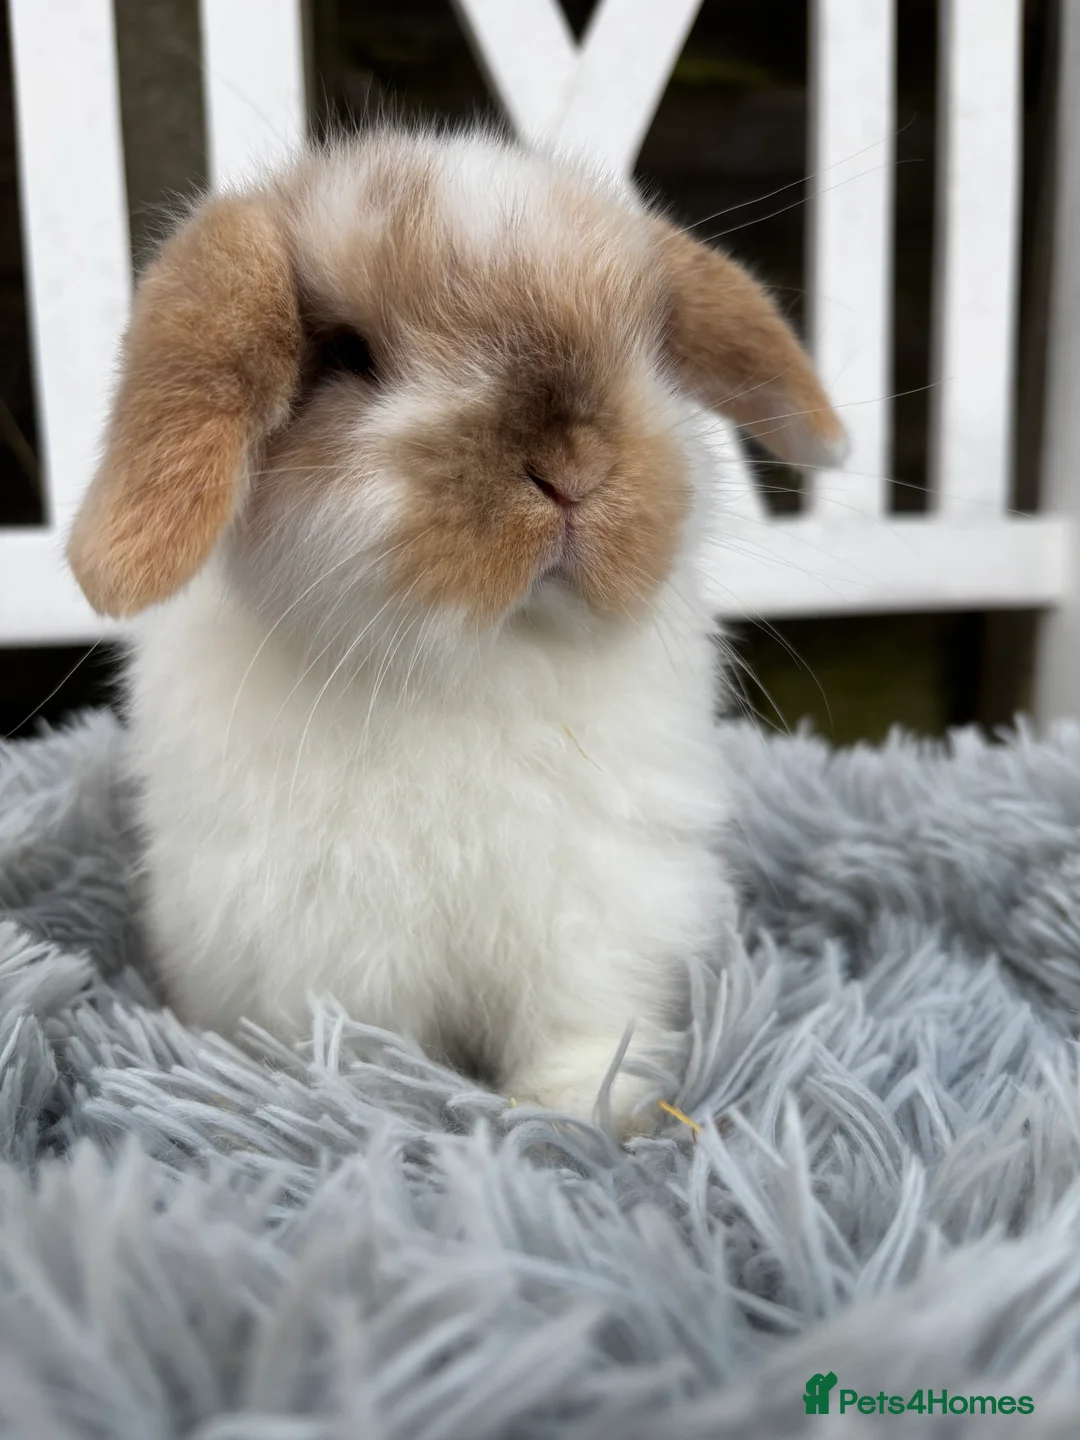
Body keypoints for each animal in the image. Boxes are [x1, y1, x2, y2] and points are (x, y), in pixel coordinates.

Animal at [67, 126, 845, 1136]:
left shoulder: (595, 915)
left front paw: (585, 1117)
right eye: (346, 353)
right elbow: (366, 1052)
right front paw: (369, 1109)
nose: (572, 470)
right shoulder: (325, 944)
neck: (477, 663)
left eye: (648, 344)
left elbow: (586, 1034)